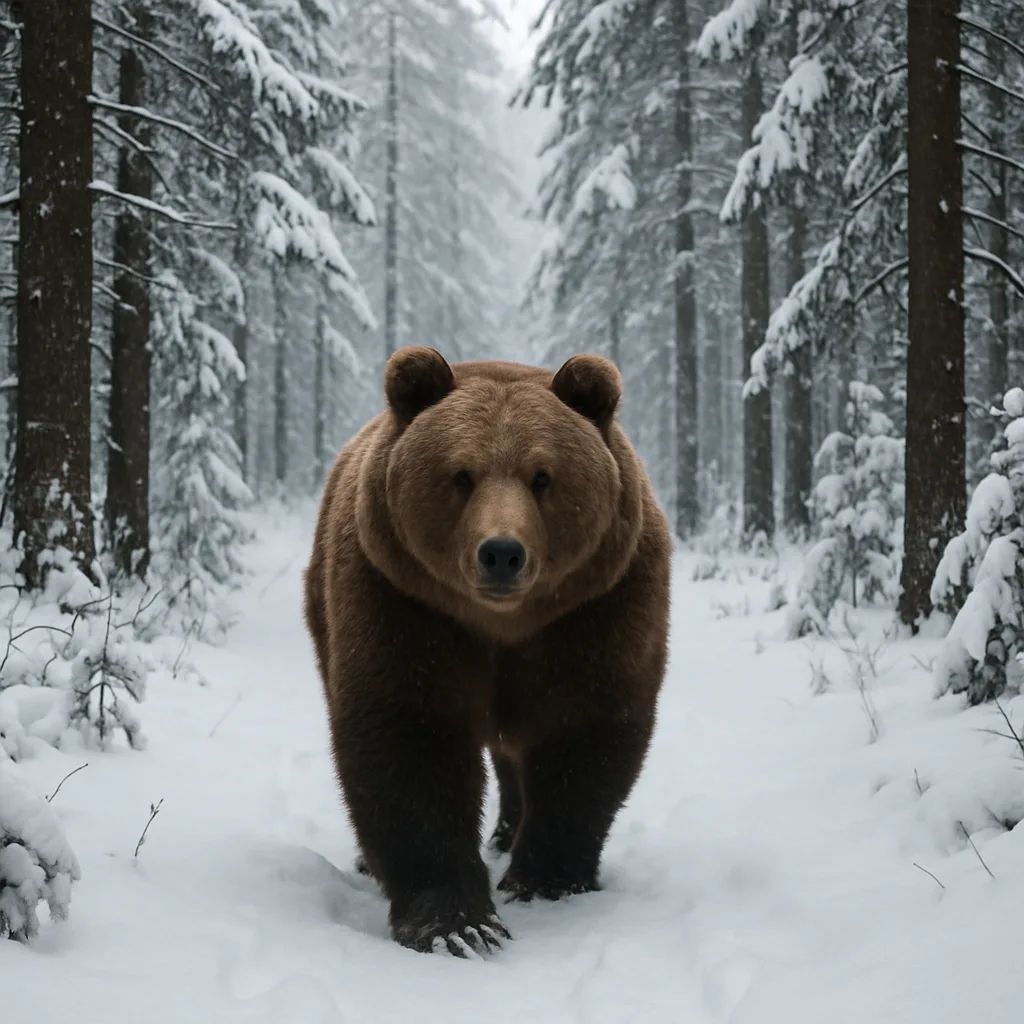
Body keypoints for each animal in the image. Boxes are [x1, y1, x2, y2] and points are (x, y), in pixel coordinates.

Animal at [303, 346, 672, 957]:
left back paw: (507, 832)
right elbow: (410, 740)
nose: (502, 552)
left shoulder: (596, 610)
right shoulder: (403, 602)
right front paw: (459, 923)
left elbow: (584, 736)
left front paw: (545, 880)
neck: (503, 624)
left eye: (542, 476)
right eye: (461, 474)